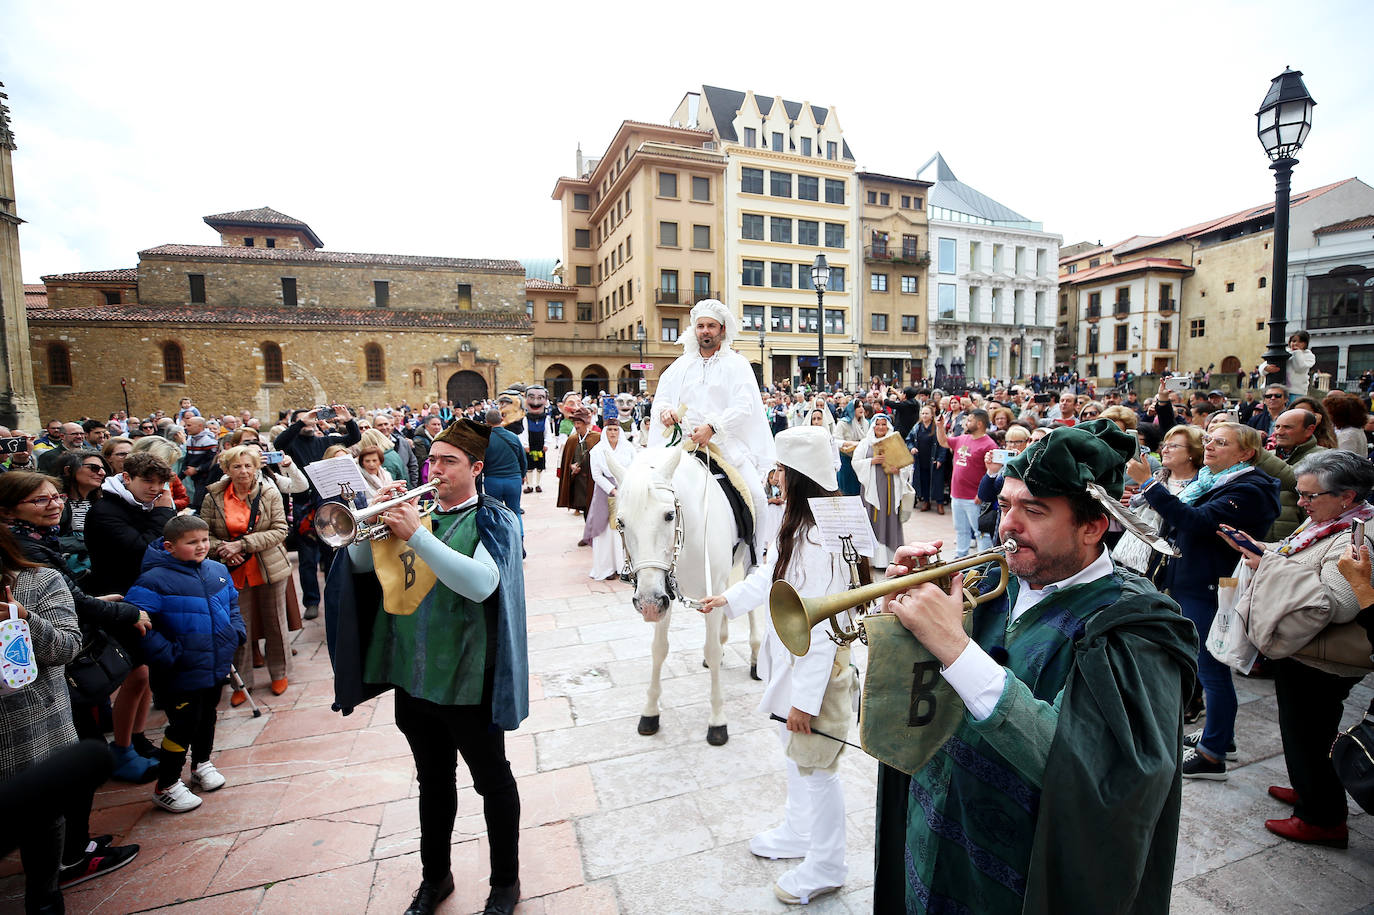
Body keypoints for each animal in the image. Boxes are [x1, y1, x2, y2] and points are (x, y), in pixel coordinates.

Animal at [612, 445, 758, 747]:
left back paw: (755, 657)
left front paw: (717, 721)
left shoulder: (705, 590)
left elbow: (711, 649)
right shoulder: (662, 592)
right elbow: (659, 650)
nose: (647, 604)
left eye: (669, 515)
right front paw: (650, 713)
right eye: (621, 522)